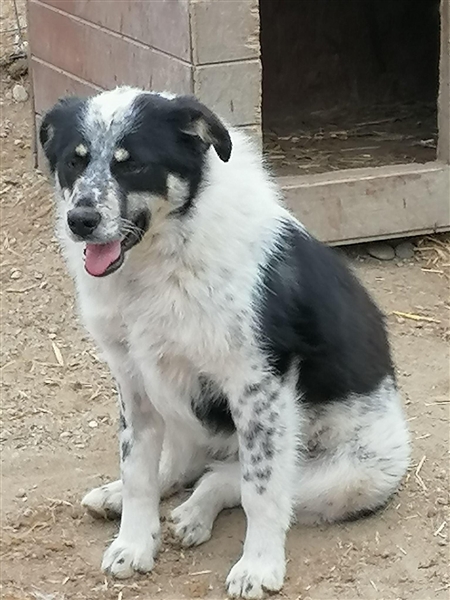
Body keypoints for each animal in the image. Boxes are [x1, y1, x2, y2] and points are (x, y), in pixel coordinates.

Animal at [40, 86, 410, 599]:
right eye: (74, 162)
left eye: (133, 165)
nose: (81, 220)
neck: (162, 259)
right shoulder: (132, 378)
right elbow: (137, 471)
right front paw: (133, 543)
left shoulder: (257, 387)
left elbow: (260, 491)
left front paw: (258, 566)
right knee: (184, 464)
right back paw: (125, 496)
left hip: (352, 475)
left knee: (231, 477)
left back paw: (197, 512)